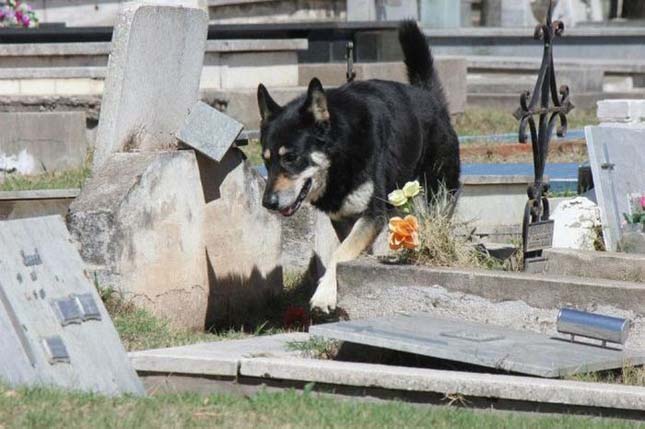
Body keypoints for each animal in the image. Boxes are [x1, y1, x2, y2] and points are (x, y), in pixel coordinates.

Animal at [255, 20, 458, 312]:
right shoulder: (344, 217)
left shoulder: (371, 213)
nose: (268, 203)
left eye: (291, 157)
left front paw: (324, 294)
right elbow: (344, 251)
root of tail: (429, 96)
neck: (341, 154)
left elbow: (339, 255)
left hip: (438, 194)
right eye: (266, 159)